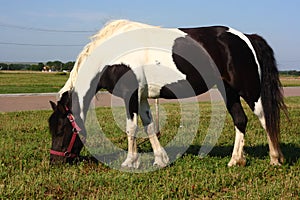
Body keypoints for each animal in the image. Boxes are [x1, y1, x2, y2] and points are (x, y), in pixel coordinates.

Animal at [48, 19, 288, 167]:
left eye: (60, 129)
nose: (54, 161)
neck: (111, 56)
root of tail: (246, 37)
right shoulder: (142, 97)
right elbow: (149, 126)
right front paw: (160, 159)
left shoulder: (130, 96)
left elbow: (131, 128)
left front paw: (130, 162)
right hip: (228, 91)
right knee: (240, 120)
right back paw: (235, 160)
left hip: (249, 91)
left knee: (265, 119)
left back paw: (275, 159)